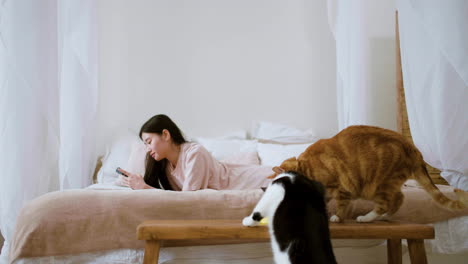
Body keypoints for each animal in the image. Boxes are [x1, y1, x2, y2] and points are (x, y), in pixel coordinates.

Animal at [268, 125, 466, 222]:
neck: (306, 167)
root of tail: (413, 149)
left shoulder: (342, 187)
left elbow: (341, 205)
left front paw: (337, 217)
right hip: (385, 185)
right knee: (399, 198)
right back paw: (385, 217)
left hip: (378, 185)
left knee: (386, 203)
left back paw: (367, 218)